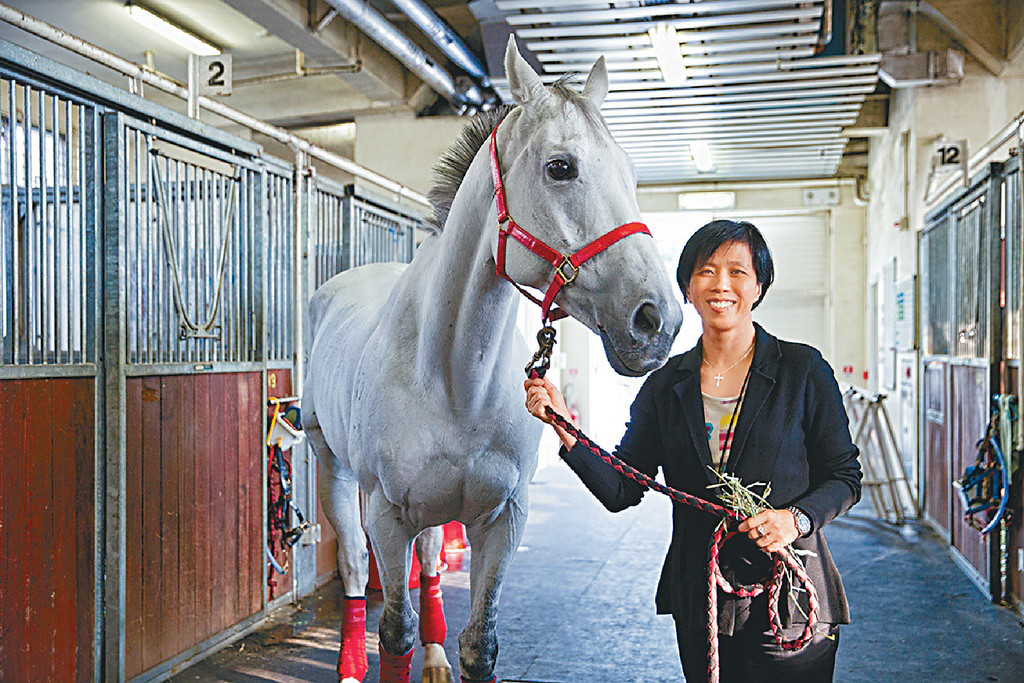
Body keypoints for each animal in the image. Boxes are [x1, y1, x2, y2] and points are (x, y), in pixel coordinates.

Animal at [303, 38, 684, 683]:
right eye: (561, 167)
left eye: (632, 174)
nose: (658, 321)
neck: (454, 378)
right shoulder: (388, 516)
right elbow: (394, 632)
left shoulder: (504, 519)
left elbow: (479, 644)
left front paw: (446, 655)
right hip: (333, 466)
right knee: (354, 564)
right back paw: (350, 664)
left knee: (432, 560)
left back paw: (433, 660)